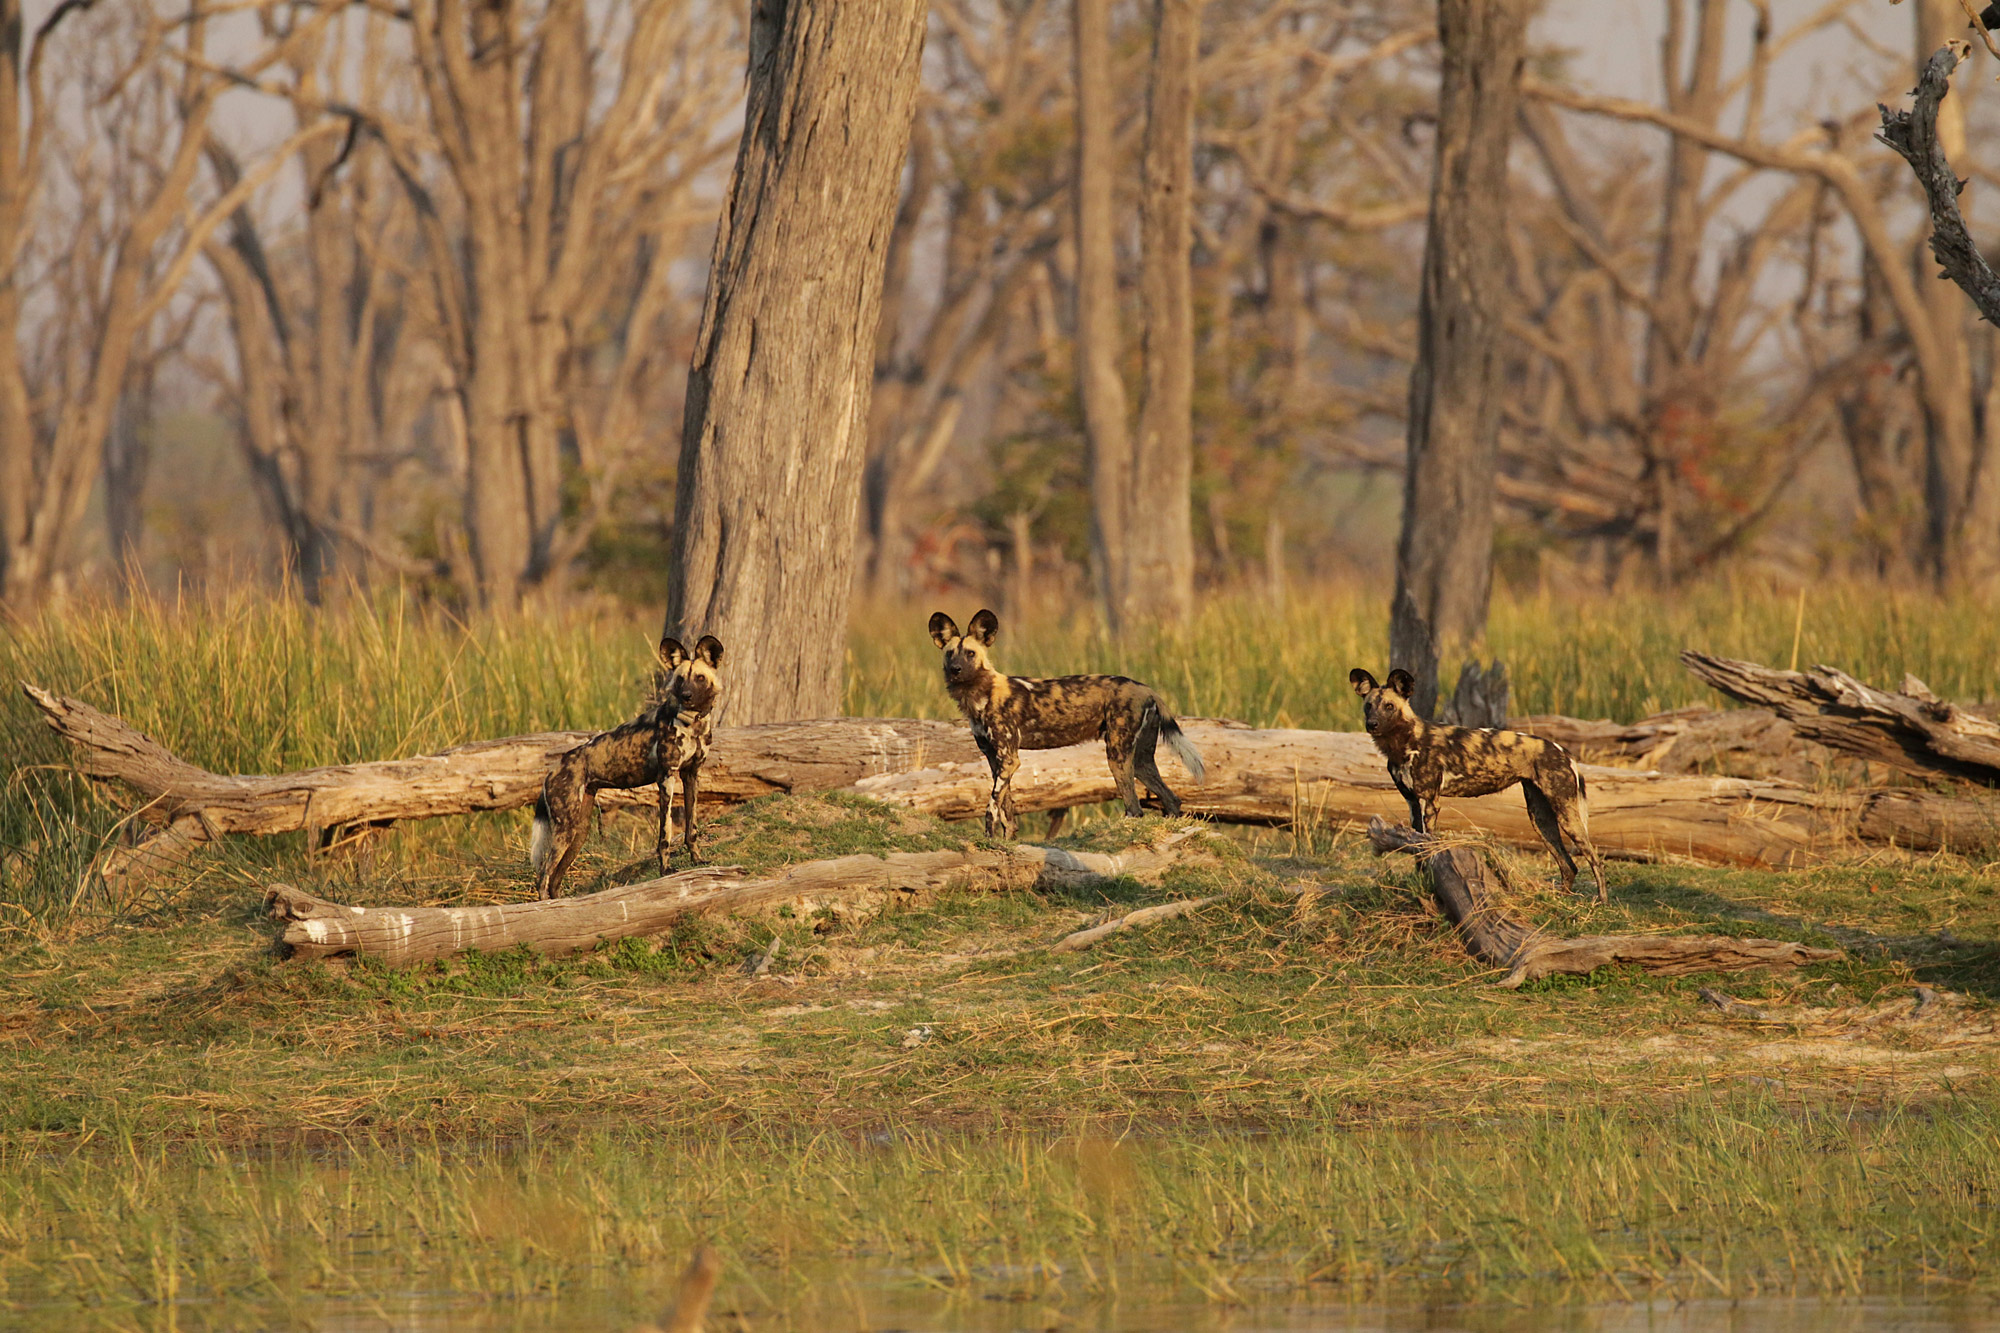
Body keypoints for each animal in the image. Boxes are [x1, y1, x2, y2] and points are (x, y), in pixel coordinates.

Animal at [528, 632, 724, 892]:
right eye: (681, 679)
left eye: (700, 678)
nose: (687, 696)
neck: (694, 723)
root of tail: (553, 771)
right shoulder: (667, 778)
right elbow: (665, 834)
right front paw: (665, 870)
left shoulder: (691, 775)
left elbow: (691, 828)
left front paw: (697, 859)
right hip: (565, 830)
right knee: (542, 878)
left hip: (578, 831)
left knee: (554, 880)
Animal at [924, 608, 1200, 836]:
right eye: (950, 654)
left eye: (970, 654)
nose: (956, 670)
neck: (981, 693)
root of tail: (1146, 688)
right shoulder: (996, 759)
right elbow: (1007, 812)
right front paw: (1006, 843)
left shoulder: (1009, 759)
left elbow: (991, 807)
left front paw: (990, 841)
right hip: (1141, 761)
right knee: (1171, 799)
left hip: (1118, 756)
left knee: (1135, 808)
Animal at [1344, 664, 1608, 904]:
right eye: (1368, 706)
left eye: (1389, 706)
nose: (1372, 724)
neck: (1404, 741)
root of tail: (1563, 750)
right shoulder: (1413, 804)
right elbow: (1417, 850)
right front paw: (1420, 882)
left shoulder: (1430, 802)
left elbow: (1428, 847)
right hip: (1541, 819)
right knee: (1569, 865)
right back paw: (1561, 902)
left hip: (1566, 814)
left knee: (1594, 858)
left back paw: (1602, 902)